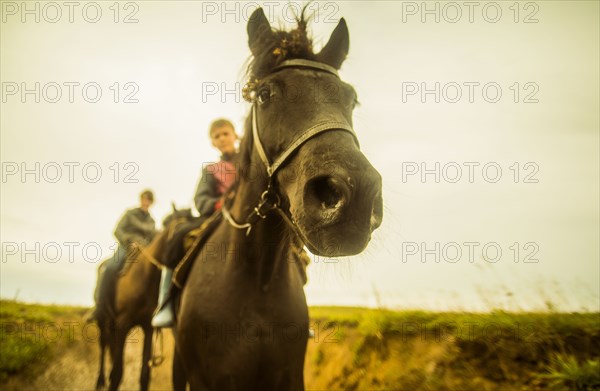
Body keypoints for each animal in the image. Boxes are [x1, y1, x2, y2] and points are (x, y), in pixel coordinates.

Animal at [95, 207, 192, 390]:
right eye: (185, 235)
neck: (143, 278)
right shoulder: (123, 323)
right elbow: (117, 373)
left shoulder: (148, 327)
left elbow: (144, 374)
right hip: (103, 319)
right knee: (103, 344)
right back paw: (100, 380)